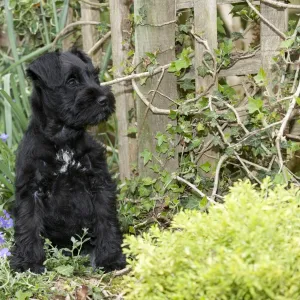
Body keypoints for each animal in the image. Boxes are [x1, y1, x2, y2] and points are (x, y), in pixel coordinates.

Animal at [9, 49, 125, 274]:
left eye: (94, 77)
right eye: (72, 81)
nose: (104, 99)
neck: (63, 138)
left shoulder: (99, 183)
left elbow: (106, 219)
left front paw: (110, 257)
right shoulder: (31, 189)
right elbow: (28, 224)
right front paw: (28, 263)